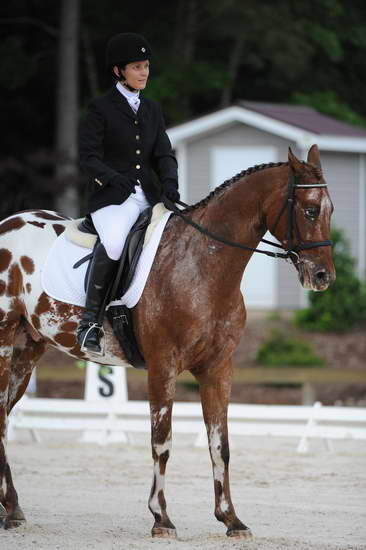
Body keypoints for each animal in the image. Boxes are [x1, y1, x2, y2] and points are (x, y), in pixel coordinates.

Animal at [0, 147, 334, 540]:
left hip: (28, 351)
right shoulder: (163, 365)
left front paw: (231, 519)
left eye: (330, 210)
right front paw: (161, 518)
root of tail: (9, 223)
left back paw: (13, 509)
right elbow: (162, 441)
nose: (323, 276)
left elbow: (220, 445)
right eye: (309, 209)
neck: (203, 263)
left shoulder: (218, 368)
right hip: (5, 345)